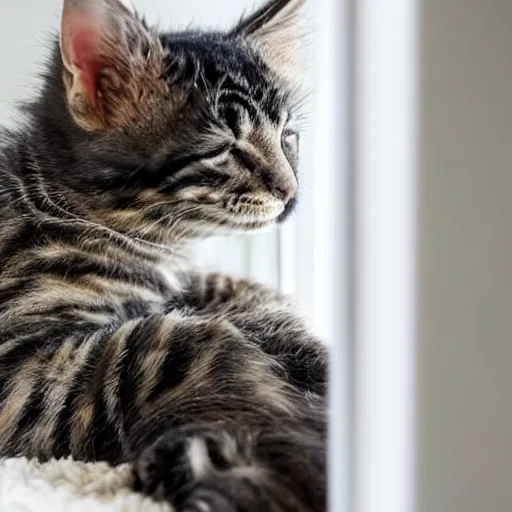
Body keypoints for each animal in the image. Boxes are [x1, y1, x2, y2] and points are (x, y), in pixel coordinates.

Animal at [0, 0, 328, 510]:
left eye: (287, 136)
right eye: (224, 149)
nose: (291, 192)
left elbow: (227, 292)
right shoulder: (18, 370)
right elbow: (176, 341)